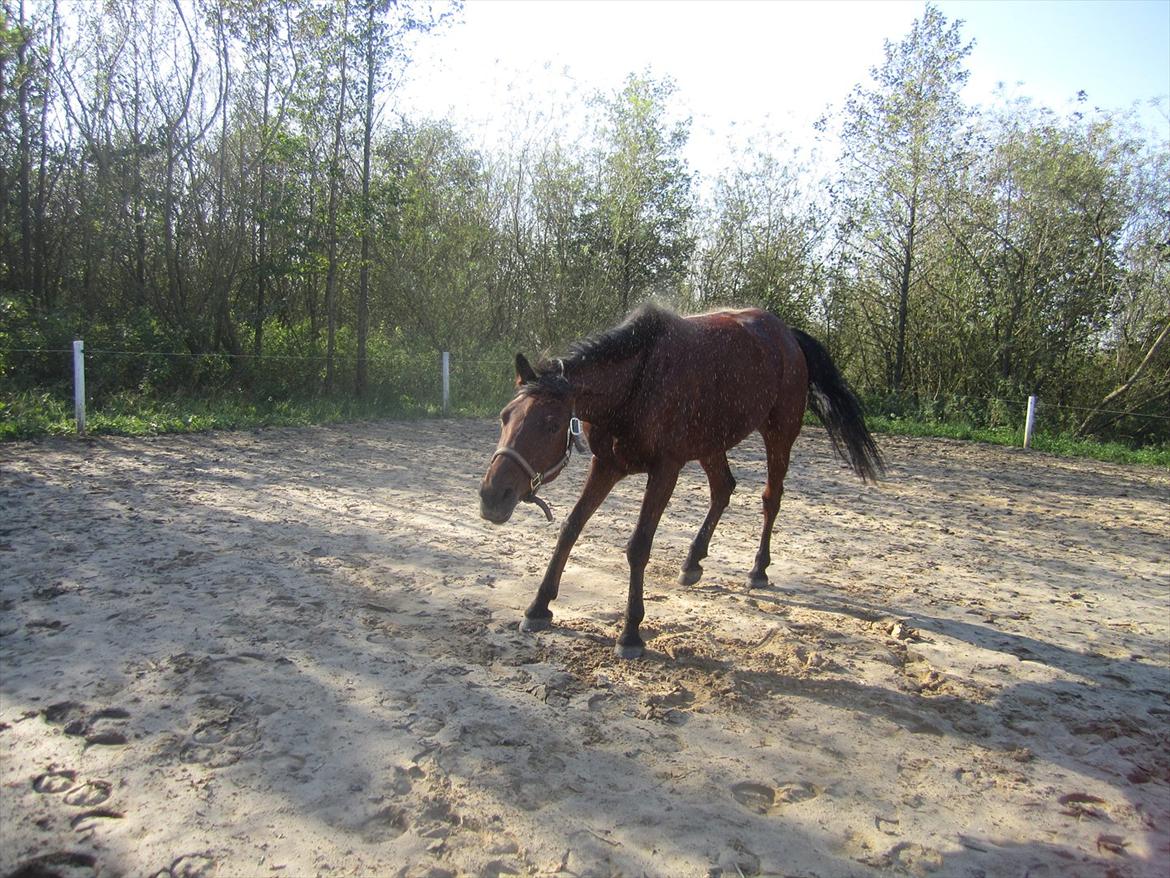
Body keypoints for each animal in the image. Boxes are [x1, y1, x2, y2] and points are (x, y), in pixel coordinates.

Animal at [475, 306, 879, 655]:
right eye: (505, 416)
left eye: (550, 424)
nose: (492, 496)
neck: (636, 386)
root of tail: (787, 335)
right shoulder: (605, 466)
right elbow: (571, 529)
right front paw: (539, 605)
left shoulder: (664, 471)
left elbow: (639, 546)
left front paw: (630, 633)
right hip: (711, 444)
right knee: (723, 489)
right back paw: (692, 562)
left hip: (778, 435)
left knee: (771, 497)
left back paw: (758, 569)